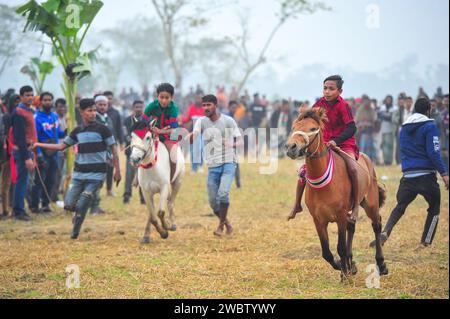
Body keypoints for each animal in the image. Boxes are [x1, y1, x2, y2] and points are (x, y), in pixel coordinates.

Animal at [286, 109, 388, 282]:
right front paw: (344, 266)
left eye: (313, 128)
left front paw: (345, 274)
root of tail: (366, 158)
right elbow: (326, 252)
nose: (291, 147)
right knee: (352, 226)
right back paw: (351, 262)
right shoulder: (318, 220)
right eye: (294, 127)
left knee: (376, 225)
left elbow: (340, 247)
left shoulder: (340, 216)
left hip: (371, 204)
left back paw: (381, 264)